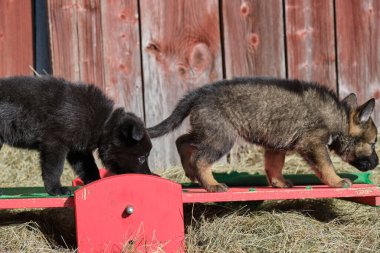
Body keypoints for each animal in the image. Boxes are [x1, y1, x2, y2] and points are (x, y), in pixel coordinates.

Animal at [0, 76, 151, 195]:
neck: (104, 123)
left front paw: (96, 183)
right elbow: (54, 169)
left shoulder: (78, 150)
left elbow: (89, 168)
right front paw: (56, 189)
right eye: (142, 157)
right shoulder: (54, 143)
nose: (149, 175)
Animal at [148, 77, 378, 192]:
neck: (340, 118)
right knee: (200, 159)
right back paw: (212, 185)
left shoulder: (277, 146)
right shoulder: (313, 144)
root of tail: (200, 93)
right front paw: (337, 181)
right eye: (374, 143)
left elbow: (275, 166)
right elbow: (326, 166)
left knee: (182, 141)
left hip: (207, 132)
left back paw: (190, 172)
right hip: (221, 138)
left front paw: (278, 183)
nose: (376, 163)